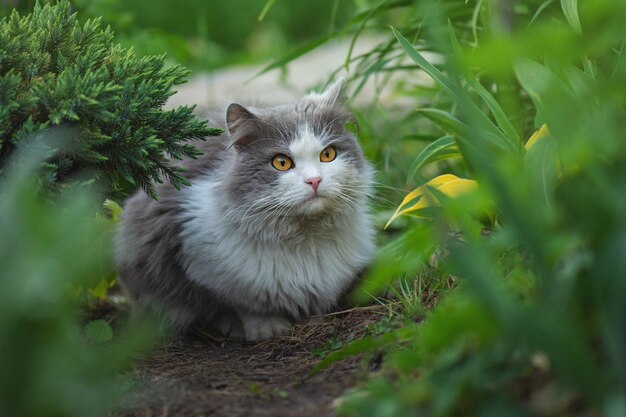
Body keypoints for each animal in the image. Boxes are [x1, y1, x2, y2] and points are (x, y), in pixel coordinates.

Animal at [114, 80, 372, 342]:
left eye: (327, 155)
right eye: (281, 162)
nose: (315, 180)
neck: (305, 241)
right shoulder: (203, 268)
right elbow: (241, 306)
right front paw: (265, 328)